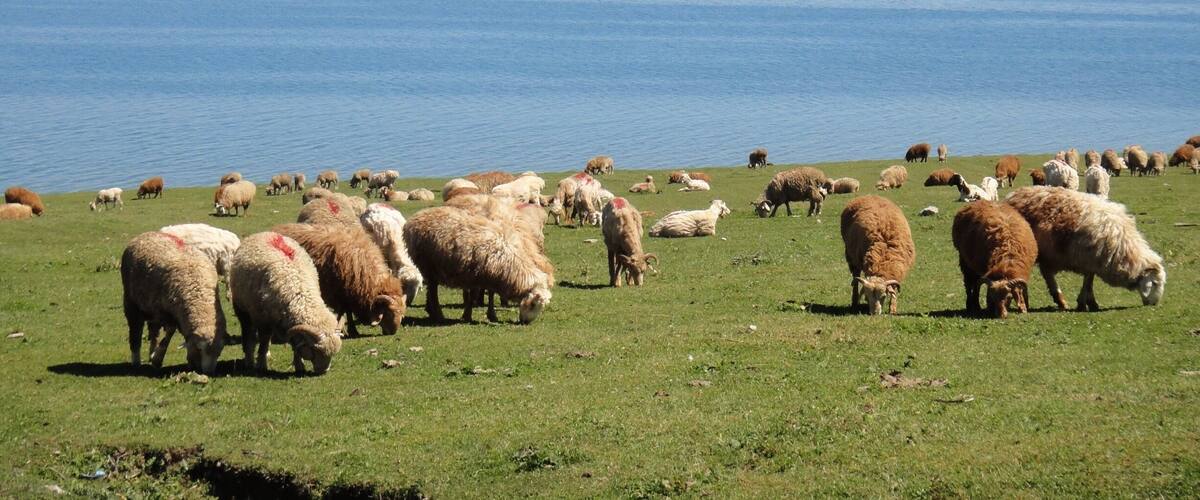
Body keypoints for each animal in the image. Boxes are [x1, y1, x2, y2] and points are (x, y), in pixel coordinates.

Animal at [121, 231, 226, 374]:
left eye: (219, 353)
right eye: (200, 349)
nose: (208, 372)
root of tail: (145, 234)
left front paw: (156, 357)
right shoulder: (166, 311)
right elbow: (169, 332)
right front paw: (158, 358)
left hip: (151, 306)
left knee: (153, 332)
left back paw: (151, 353)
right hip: (132, 302)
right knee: (135, 332)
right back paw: (136, 360)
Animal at [228, 232, 342, 374]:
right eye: (315, 349)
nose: (323, 371)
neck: (298, 289)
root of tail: (265, 233)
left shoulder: (290, 324)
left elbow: (296, 344)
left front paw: (299, 366)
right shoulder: (263, 320)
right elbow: (263, 342)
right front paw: (261, 365)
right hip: (243, 309)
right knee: (250, 337)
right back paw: (249, 361)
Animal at [272, 223, 406, 337]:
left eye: (402, 313)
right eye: (389, 312)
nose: (392, 332)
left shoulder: (347, 293)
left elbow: (345, 311)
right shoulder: (339, 293)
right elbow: (345, 311)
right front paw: (348, 330)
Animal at [403, 206, 554, 324]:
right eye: (533, 304)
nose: (526, 322)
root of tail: (413, 219)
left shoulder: (491, 275)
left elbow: (490, 294)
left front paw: (492, 315)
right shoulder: (475, 274)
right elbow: (472, 295)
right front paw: (467, 315)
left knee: (430, 289)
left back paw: (431, 311)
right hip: (428, 263)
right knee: (433, 290)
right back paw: (438, 314)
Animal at [1006, 187, 1166, 311]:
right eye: (1155, 283)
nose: (1154, 304)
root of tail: (1014, 194)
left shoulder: (1092, 261)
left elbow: (1089, 281)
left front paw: (1089, 302)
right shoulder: (1088, 259)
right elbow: (1088, 281)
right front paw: (1085, 303)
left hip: (1047, 253)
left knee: (1046, 273)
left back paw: (1059, 300)